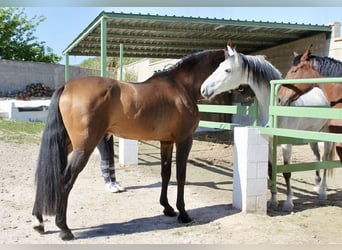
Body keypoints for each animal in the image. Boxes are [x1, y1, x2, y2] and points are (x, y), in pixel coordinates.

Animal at [30, 48, 226, 240]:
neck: (180, 86)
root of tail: (66, 86)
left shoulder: (166, 142)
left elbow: (166, 174)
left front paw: (167, 208)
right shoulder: (184, 140)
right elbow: (180, 176)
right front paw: (183, 214)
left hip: (67, 143)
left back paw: (38, 222)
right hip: (83, 147)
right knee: (64, 180)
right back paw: (64, 229)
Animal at [200, 43, 334, 211]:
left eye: (227, 70)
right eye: (219, 66)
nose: (203, 89)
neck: (275, 107)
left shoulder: (285, 144)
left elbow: (286, 173)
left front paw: (288, 203)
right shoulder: (269, 143)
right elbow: (270, 170)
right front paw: (273, 200)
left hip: (327, 135)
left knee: (326, 159)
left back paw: (322, 192)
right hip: (312, 135)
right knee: (317, 157)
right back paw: (316, 186)